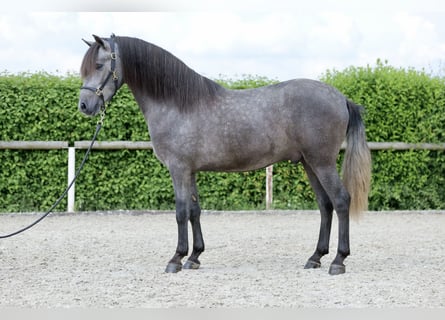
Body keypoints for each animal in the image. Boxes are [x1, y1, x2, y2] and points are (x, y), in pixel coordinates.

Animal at [78, 35, 370, 276]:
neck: (176, 103)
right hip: (310, 164)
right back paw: (316, 257)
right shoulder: (191, 171)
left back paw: (338, 261)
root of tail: (341, 98)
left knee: (341, 200)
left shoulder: (178, 169)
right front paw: (194, 257)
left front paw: (176, 259)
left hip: (322, 163)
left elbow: (181, 211)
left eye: (100, 65)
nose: (84, 106)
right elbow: (195, 211)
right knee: (325, 205)